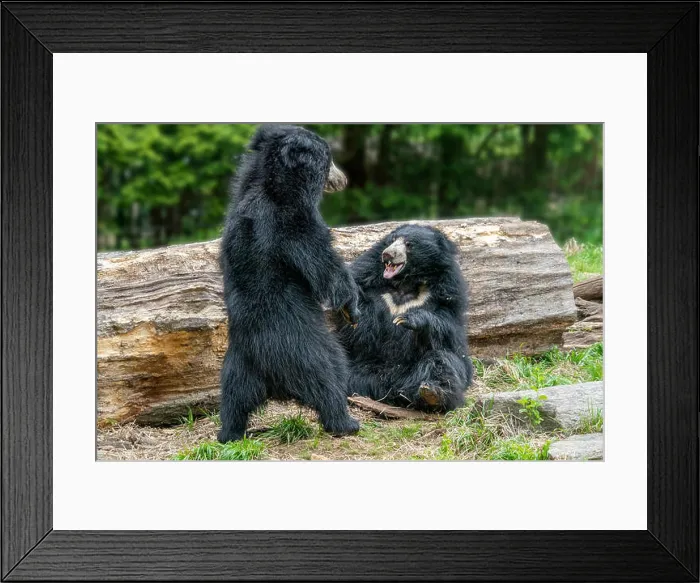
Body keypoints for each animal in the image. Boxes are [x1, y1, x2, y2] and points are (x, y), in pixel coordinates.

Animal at [218, 124, 361, 443]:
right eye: (329, 159)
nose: (343, 179)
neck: (272, 185)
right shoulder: (292, 220)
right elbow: (324, 262)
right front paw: (352, 308)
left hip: (237, 364)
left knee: (233, 396)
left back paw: (229, 433)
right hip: (303, 345)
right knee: (330, 374)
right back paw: (346, 422)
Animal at [333, 224, 473, 412]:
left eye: (409, 244)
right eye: (392, 240)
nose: (387, 254)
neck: (405, 284)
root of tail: (387, 385)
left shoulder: (448, 294)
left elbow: (449, 332)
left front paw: (407, 319)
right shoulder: (368, 280)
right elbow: (359, 331)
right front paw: (351, 310)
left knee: (442, 361)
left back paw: (432, 393)